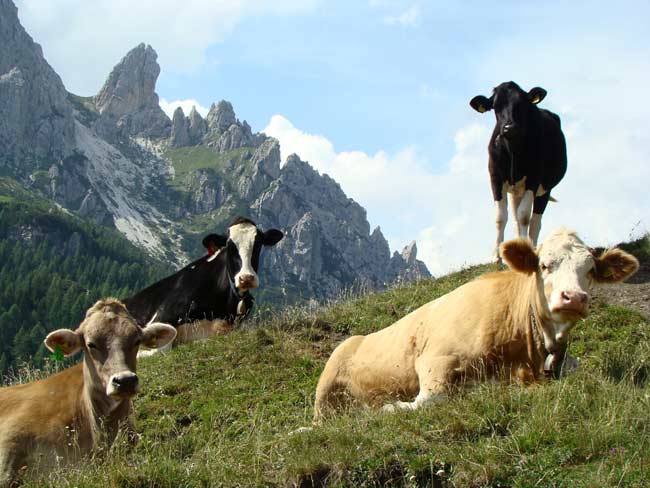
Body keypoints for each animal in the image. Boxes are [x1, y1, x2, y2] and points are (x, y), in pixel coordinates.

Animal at [314, 230, 636, 420]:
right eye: (544, 265)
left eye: (591, 270)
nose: (574, 298)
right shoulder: (435, 360)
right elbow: (429, 400)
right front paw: (390, 407)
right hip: (327, 380)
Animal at [468, 82, 564, 262]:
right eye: (496, 107)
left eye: (521, 104)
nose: (509, 127)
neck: (513, 150)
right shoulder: (496, 178)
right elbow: (500, 217)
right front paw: (496, 256)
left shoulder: (534, 179)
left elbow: (525, 216)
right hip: (515, 191)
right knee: (514, 218)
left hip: (544, 189)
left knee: (535, 220)